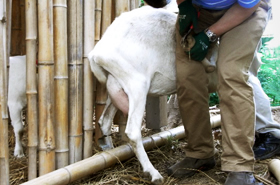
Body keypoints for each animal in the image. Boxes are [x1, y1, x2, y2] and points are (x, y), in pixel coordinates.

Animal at [88, 5, 218, 184]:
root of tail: (97, 52)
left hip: (116, 86)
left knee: (104, 121)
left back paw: (111, 152)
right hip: (137, 84)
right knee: (132, 131)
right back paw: (153, 173)